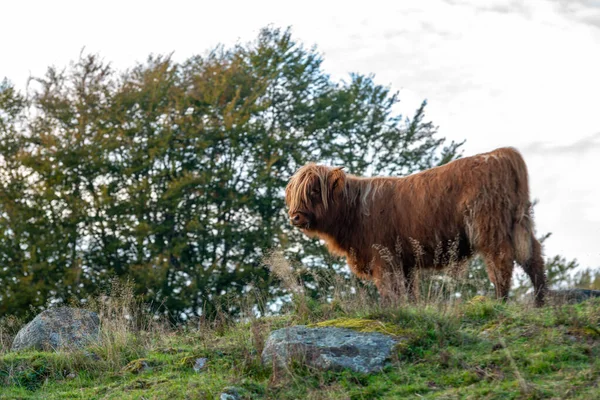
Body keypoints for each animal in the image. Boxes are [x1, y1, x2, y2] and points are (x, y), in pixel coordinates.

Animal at [286, 147, 548, 306]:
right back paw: (540, 302)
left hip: (488, 228)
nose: (295, 217)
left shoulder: (384, 259)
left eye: (314, 190)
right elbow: (410, 292)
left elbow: (390, 291)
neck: (355, 212)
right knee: (533, 257)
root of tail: (499, 153)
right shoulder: (405, 262)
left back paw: (500, 302)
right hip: (519, 224)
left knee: (501, 261)